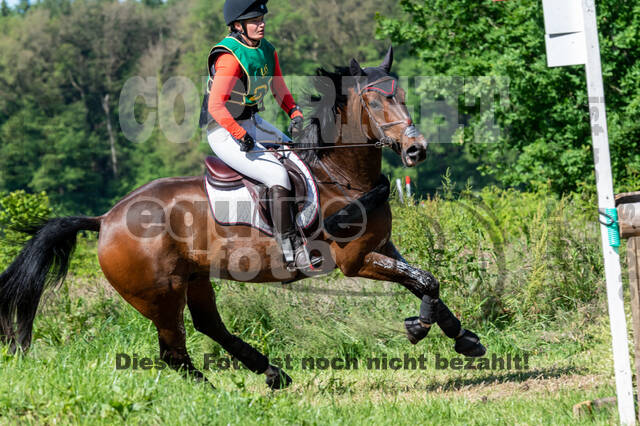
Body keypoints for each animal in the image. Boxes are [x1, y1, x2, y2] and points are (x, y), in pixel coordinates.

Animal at [0, 46, 485, 389]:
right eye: (374, 100)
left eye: (401, 95)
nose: (416, 150)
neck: (340, 177)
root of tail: (105, 219)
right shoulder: (356, 261)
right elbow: (423, 279)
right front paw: (419, 328)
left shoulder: (381, 248)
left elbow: (424, 280)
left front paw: (460, 336)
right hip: (159, 293)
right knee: (174, 351)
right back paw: (217, 392)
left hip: (194, 277)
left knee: (208, 326)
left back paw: (271, 372)